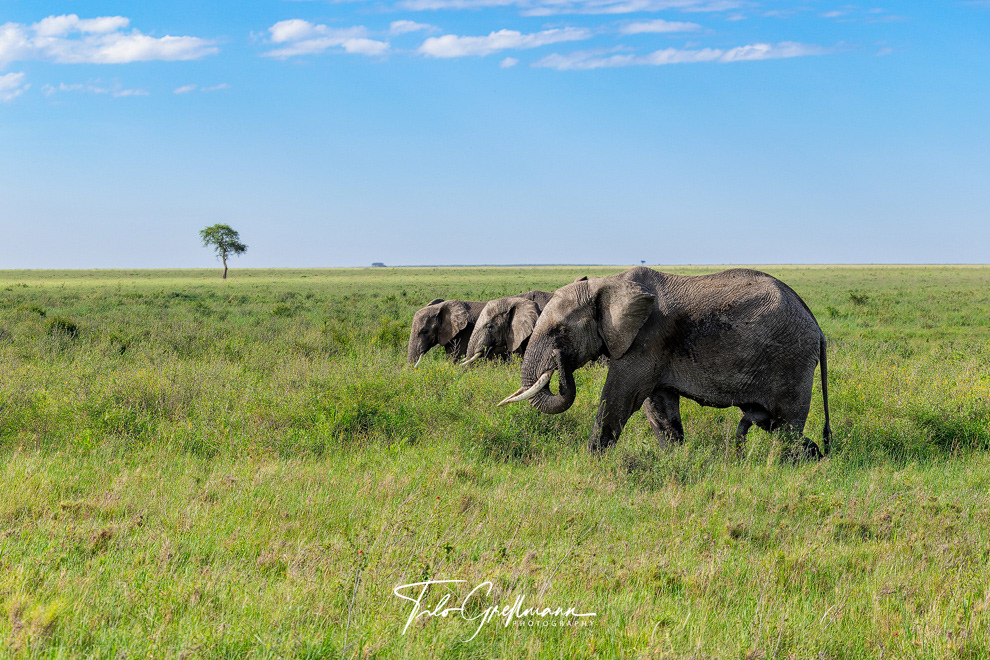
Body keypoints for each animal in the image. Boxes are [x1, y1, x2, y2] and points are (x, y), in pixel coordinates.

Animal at [498, 267, 832, 458]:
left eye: (560, 331)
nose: (558, 361)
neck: (607, 284)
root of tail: (817, 327)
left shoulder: (646, 339)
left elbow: (620, 397)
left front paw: (591, 462)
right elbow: (657, 405)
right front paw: (676, 459)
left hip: (792, 362)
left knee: (786, 427)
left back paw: (788, 465)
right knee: (774, 424)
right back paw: (816, 456)